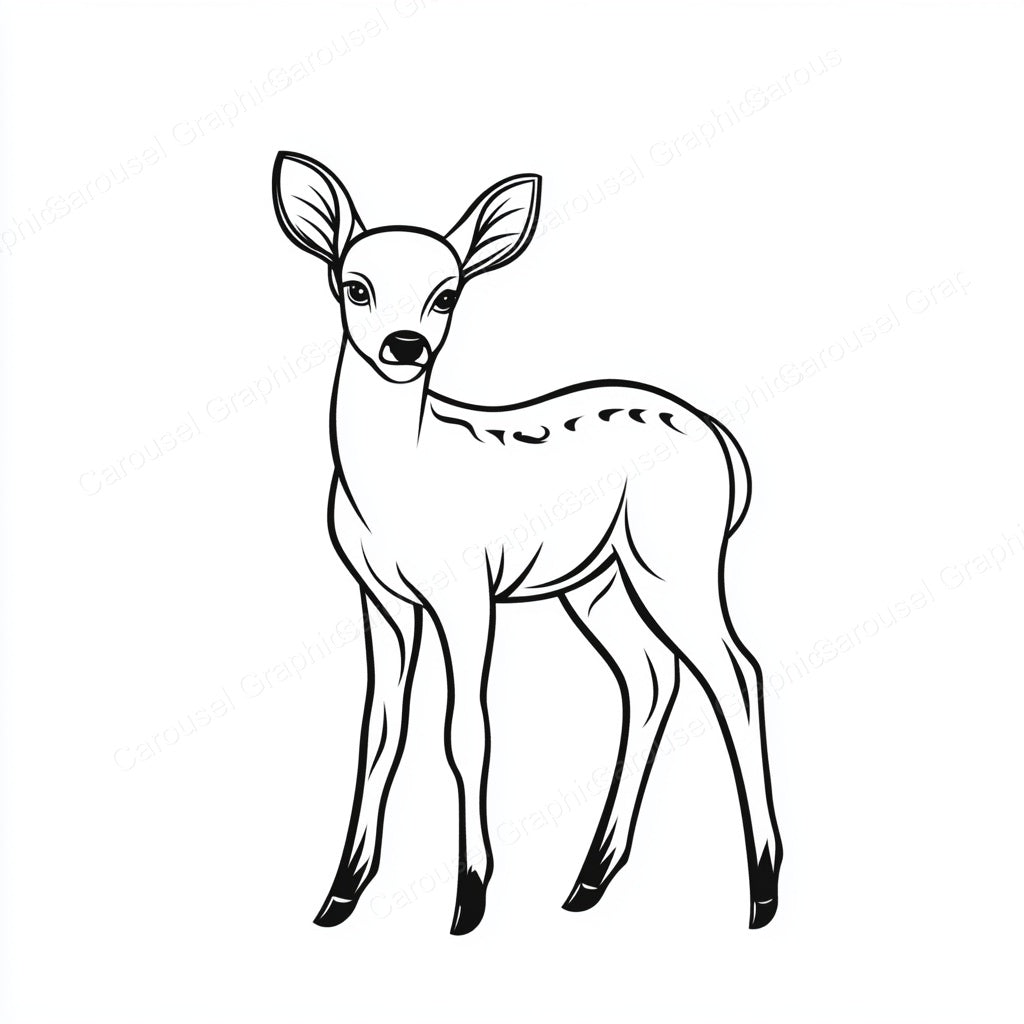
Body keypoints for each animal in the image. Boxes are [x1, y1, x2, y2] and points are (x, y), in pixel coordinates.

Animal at [271, 151, 783, 936]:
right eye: (354, 286)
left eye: (447, 295)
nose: (405, 348)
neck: (399, 480)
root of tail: (725, 444)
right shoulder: (380, 597)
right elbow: (379, 730)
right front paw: (338, 897)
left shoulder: (467, 589)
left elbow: (466, 730)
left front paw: (470, 900)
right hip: (598, 579)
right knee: (650, 676)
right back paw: (588, 879)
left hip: (677, 559)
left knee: (736, 673)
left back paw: (761, 891)